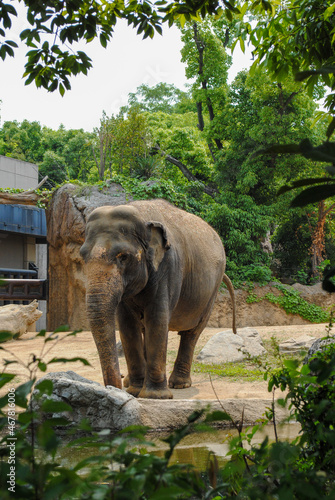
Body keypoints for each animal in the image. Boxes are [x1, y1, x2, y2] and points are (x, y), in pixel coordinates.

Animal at [80, 199, 239, 398]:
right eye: (82, 256)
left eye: (123, 257)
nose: (112, 389)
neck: (141, 215)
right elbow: (127, 324)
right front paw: (135, 391)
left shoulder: (168, 266)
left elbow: (157, 319)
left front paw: (154, 396)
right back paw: (132, 383)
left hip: (212, 289)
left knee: (192, 332)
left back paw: (179, 384)